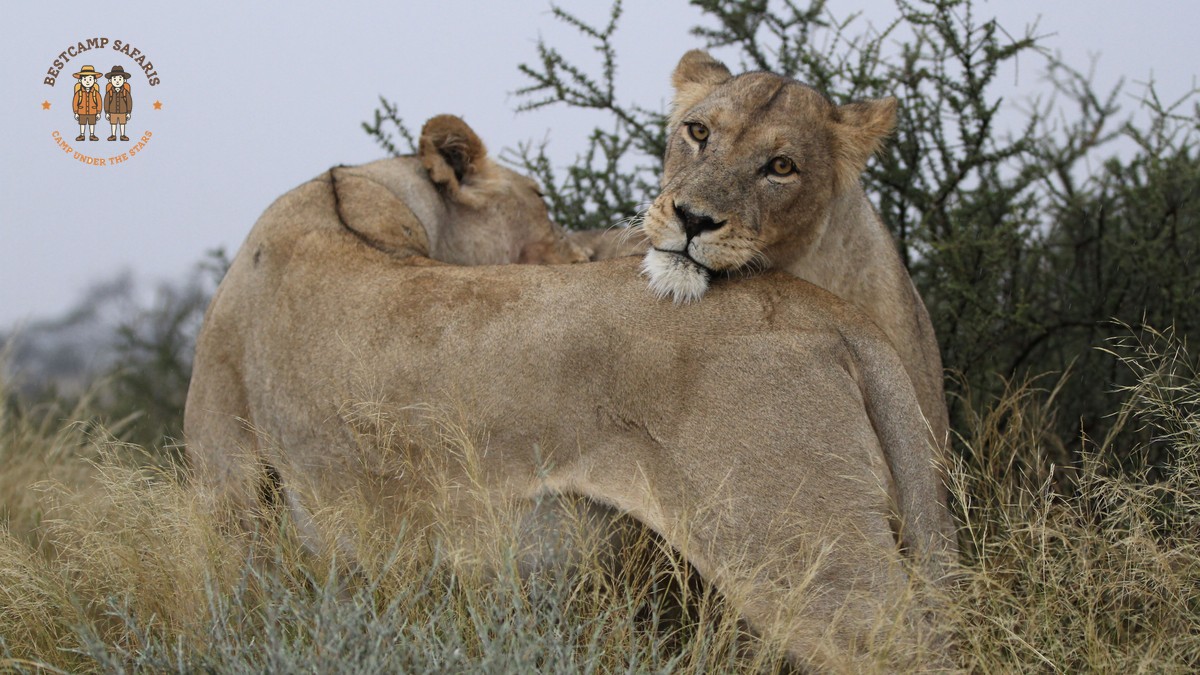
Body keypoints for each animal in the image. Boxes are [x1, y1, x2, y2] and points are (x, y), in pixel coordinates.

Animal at [185, 142, 955, 668]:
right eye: (540, 201)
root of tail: (829, 310)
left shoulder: (232, 496)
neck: (354, 193)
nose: (591, 251)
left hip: (802, 552)